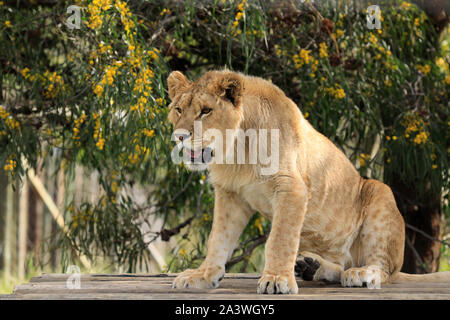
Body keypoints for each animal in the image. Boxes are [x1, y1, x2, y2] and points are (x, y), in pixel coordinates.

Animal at [166, 70, 450, 296]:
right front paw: (203, 276)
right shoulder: (230, 194)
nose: (179, 136)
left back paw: (362, 274)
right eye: (179, 109)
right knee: (344, 264)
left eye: (206, 111)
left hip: (380, 193)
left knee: (384, 270)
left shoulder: (291, 188)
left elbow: (280, 239)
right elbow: (218, 239)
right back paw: (314, 268)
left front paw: (276, 280)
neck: (236, 151)